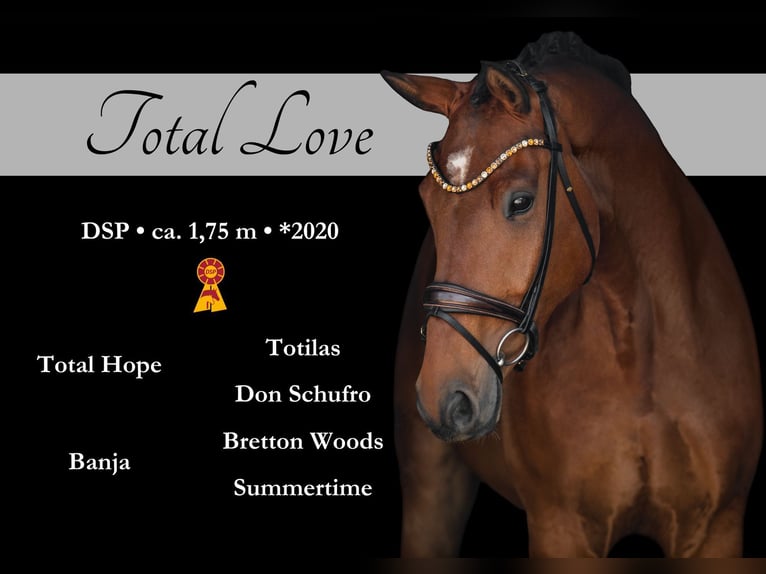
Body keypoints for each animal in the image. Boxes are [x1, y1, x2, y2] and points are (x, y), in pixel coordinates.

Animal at [382, 31, 763, 557]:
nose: (445, 397)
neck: (644, 352)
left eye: (521, 201)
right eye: (426, 201)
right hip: (431, 489)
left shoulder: (717, 531)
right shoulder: (561, 530)